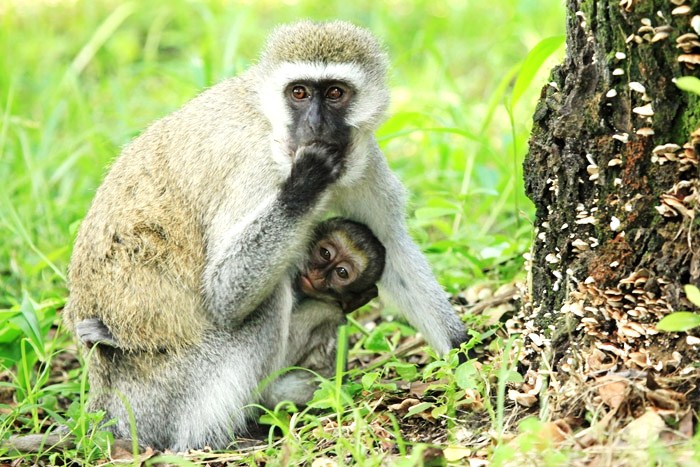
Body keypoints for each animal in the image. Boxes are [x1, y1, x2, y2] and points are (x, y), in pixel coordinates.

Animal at [63, 20, 468, 452]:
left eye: (335, 93)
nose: (315, 126)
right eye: (299, 92)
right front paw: (305, 182)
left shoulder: (363, 156)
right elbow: (223, 292)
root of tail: (106, 400)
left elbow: (391, 245)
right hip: (164, 387)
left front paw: (464, 352)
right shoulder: (254, 167)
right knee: (266, 301)